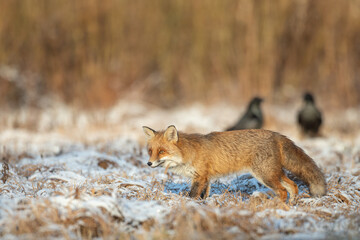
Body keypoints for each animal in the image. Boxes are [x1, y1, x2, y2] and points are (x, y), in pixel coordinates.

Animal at [143, 124, 326, 202]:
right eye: (150, 151)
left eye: (162, 151)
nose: (149, 164)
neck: (188, 153)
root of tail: (275, 134)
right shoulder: (206, 179)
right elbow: (203, 196)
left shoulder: (200, 177)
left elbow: (192, 195)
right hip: (274, 173)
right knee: (293, 186)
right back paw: (292, 206)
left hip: (264, 175)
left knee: (282, 191)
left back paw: (276, 207)